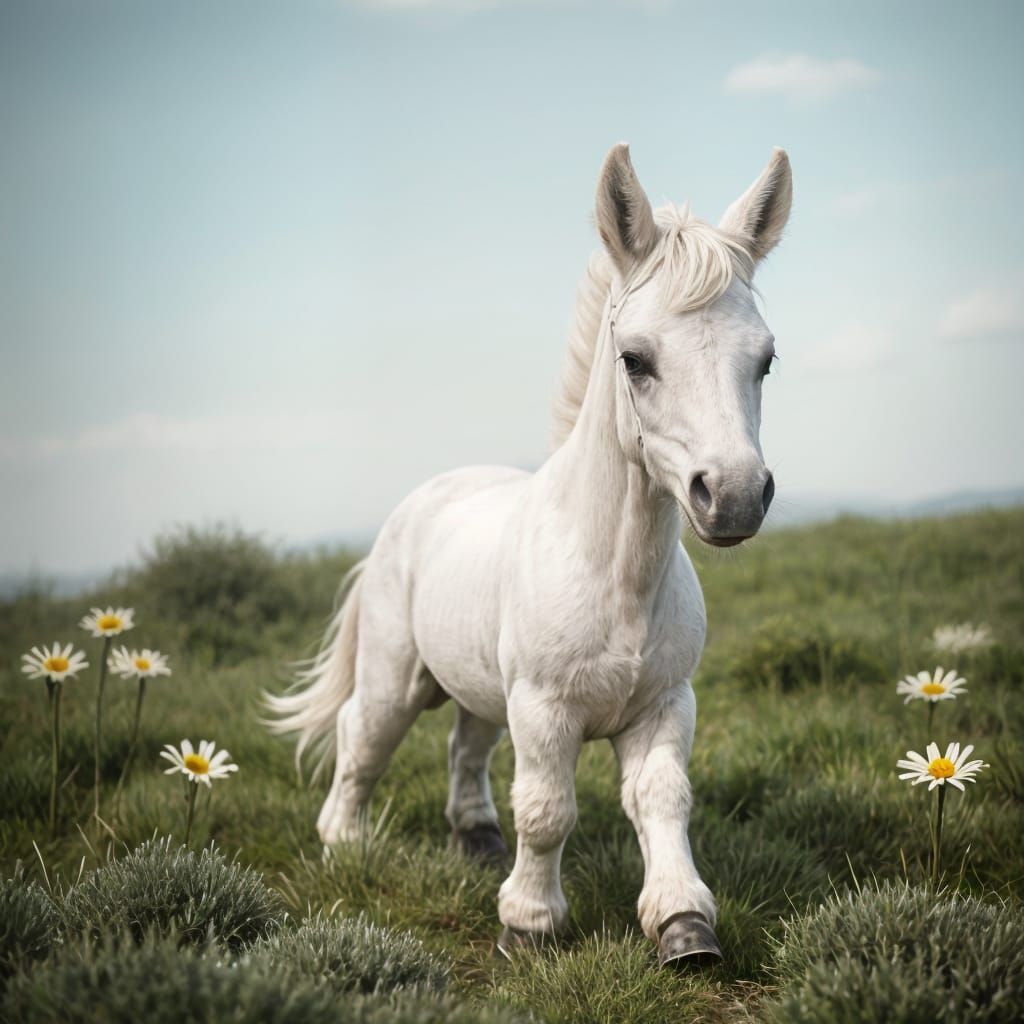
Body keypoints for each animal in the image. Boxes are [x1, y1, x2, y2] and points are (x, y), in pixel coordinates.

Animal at [268, 143, 792, 968]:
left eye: (765, 359)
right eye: (635, 359)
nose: (734, 495)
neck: (613, 573)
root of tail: (420, 502)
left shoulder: (664, 705)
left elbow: (662, 799)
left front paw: (684, 924)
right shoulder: (545, 710)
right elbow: (547, 809)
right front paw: (529, 924)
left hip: (481, 686)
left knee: (466, 746)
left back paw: (475, 837)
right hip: (395, 677)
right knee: (362, 738)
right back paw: (343, 841)